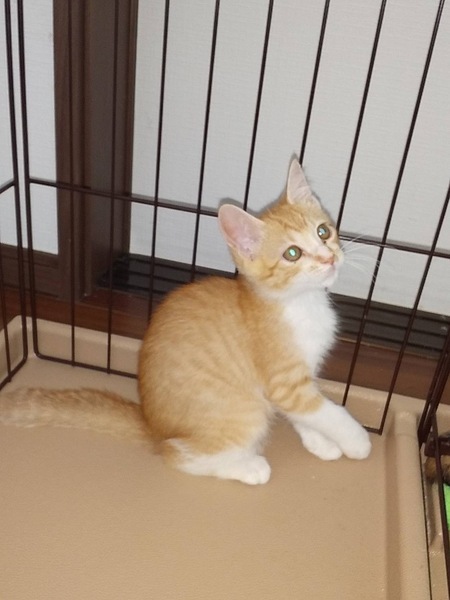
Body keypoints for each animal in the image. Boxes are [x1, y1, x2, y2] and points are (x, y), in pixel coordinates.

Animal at [0, 160, 371, 484]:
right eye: (292, 254)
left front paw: (322, 443)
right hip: (243, 412)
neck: (298, 302)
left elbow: (310, 414)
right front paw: (356, 441)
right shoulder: (284, 382)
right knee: (178, 455)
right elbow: (329, 412)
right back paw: (247, 467)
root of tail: (153, 428)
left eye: (323, 231)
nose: (329, 257)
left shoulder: (299, 378)